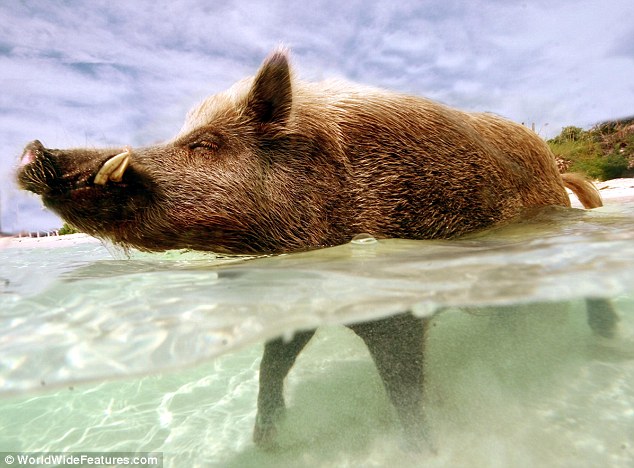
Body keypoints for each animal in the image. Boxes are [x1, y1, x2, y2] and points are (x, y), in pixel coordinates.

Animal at [18, 47, 612, 450]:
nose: (34, 151)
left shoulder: (394, 312)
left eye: (204, 144)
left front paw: (424, 449)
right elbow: (272, 363)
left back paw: (604, 344)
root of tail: (553, 164)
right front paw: (266, 442)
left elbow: (403, 389)